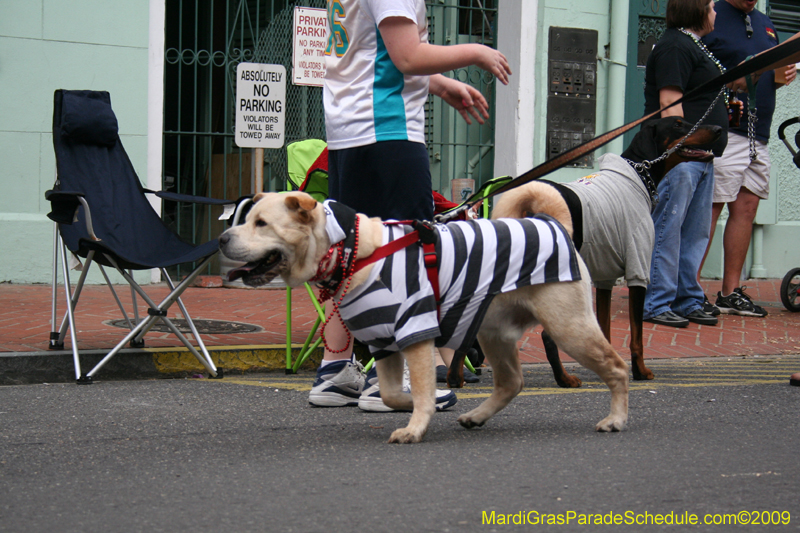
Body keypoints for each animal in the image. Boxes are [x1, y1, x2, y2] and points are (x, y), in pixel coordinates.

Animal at [220, 193, 632, 442]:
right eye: (246, 220)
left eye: (261, 223)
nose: (222, 239)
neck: (352, 250)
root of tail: (552, 221)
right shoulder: (384, 344)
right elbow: (393, 394)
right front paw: (416, 406)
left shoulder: (415, 332)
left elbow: (419, 387)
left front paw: (416, 424)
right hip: (493, 333)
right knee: (511, 382)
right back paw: (477, 415)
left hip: (569, 327)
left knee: (616, 366)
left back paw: (616, 419)